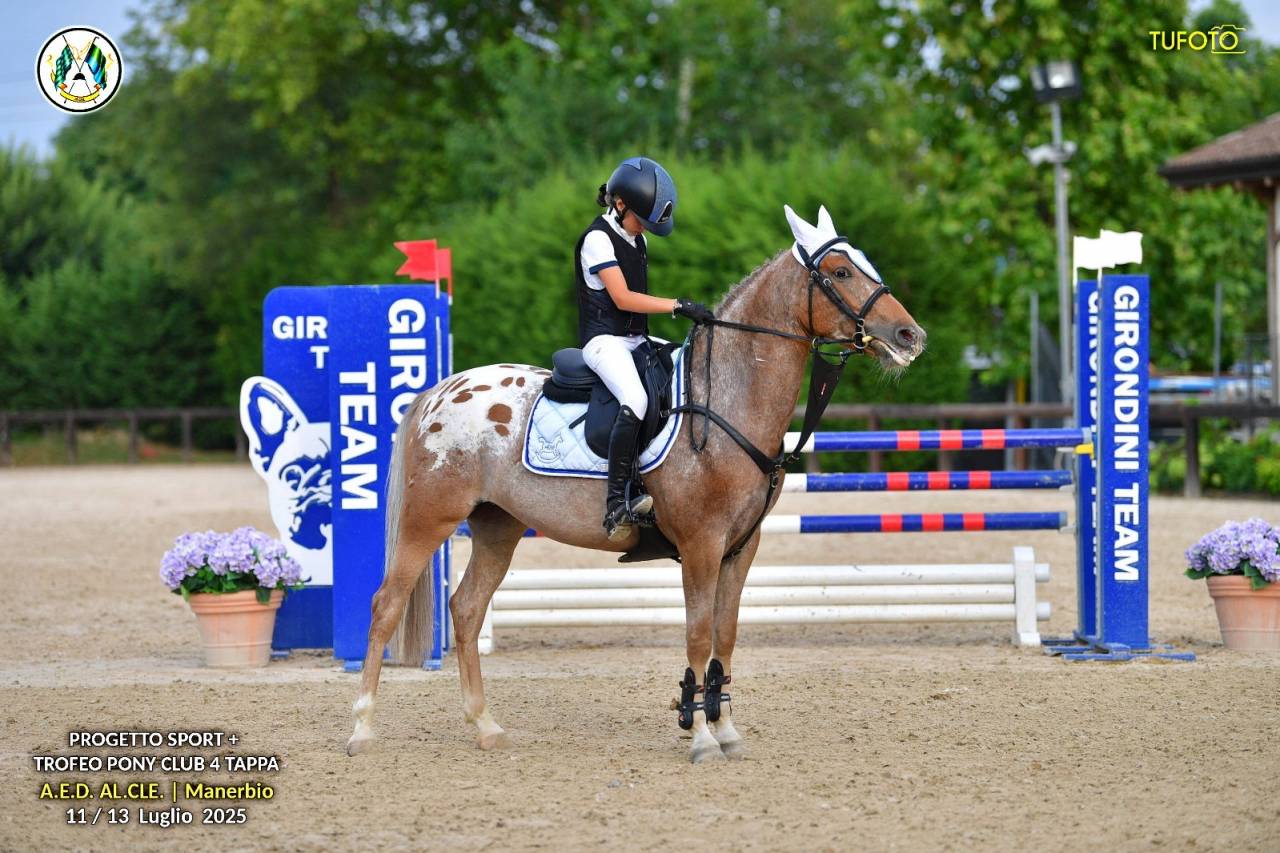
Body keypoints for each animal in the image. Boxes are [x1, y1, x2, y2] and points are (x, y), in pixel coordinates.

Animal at [347, 206, 926, 763]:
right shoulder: (701, 545)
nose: (911, 337)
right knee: (386, 606)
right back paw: (363, 729)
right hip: (431, 518)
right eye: (841, 272)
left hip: (498, 526)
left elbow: (725, 635)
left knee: (466, 610)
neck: (727, 396)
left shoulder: (741, 546)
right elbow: (697, 636)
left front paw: (725, 728)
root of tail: (442, 390)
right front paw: (700, 737)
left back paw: (486, 727)